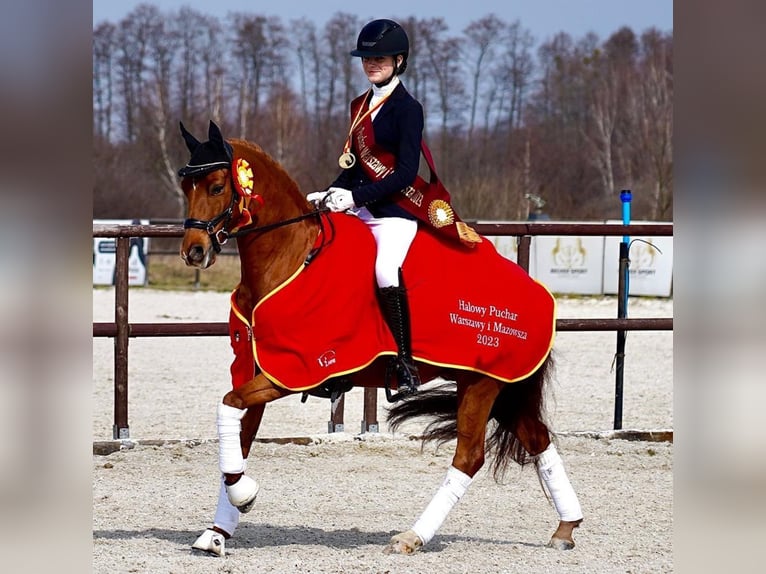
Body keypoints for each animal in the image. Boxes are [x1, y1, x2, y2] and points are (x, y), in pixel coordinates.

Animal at [177, 121, 584, 560]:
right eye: (186, 188)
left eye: (218, 186)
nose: (193, 252)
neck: (290, 258)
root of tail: (538, 291)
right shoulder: (256, 367)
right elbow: (237, 431)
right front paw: (219, 529)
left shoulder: (292, 370)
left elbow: (228, 407)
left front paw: (244, 494)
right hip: (498, 382)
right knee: (537, 439)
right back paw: (566, 528)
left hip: (483, 382)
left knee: (469, 457)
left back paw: (413, 536)